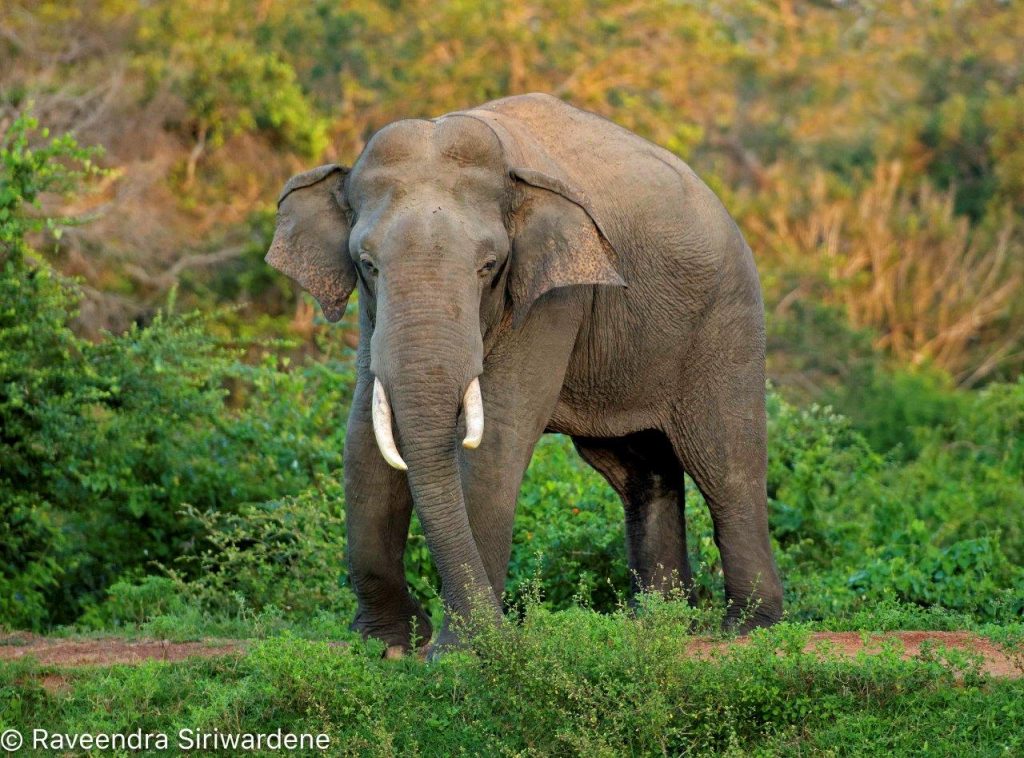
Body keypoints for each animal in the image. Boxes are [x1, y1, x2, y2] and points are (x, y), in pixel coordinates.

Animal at [264, 93, 782, 651]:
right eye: (367, 264)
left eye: (489, 267)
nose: (507, 624)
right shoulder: (372, 313)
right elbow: (364, 434)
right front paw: (389, 647)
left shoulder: (554, 297)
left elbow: (495, 441)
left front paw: (464, 651)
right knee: (642, 470)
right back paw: (655, 626)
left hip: (725, 322)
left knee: (725, 465)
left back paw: (748, 629)